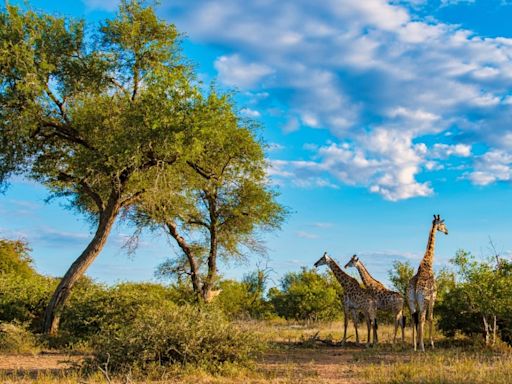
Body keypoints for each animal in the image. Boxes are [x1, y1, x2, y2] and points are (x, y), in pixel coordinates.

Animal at [408, 214, 448, 352]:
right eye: (443, 224)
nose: (447, 232)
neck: (427, 263)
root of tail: (415, 288)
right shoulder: (433, 297)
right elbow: (431, 318)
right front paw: (431, 343)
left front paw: (418, 342)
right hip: (423, 300)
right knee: (422, 318)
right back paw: (422, 346)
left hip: (411, 300)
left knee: (414, 317)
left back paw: (414, 346)